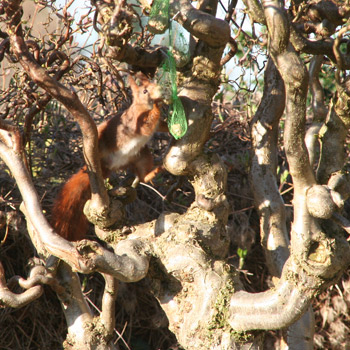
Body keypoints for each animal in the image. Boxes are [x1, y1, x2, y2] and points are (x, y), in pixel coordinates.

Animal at [50, 72, 164, 242]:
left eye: (154, 83)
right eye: (144, 91)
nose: (161, 90)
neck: (143, 106)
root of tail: (105, 165)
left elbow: (162, 126)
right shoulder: (136, 121)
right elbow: (148, 125)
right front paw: (159, 105)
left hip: (142, 156)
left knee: (143, 176)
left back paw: (153, 173)